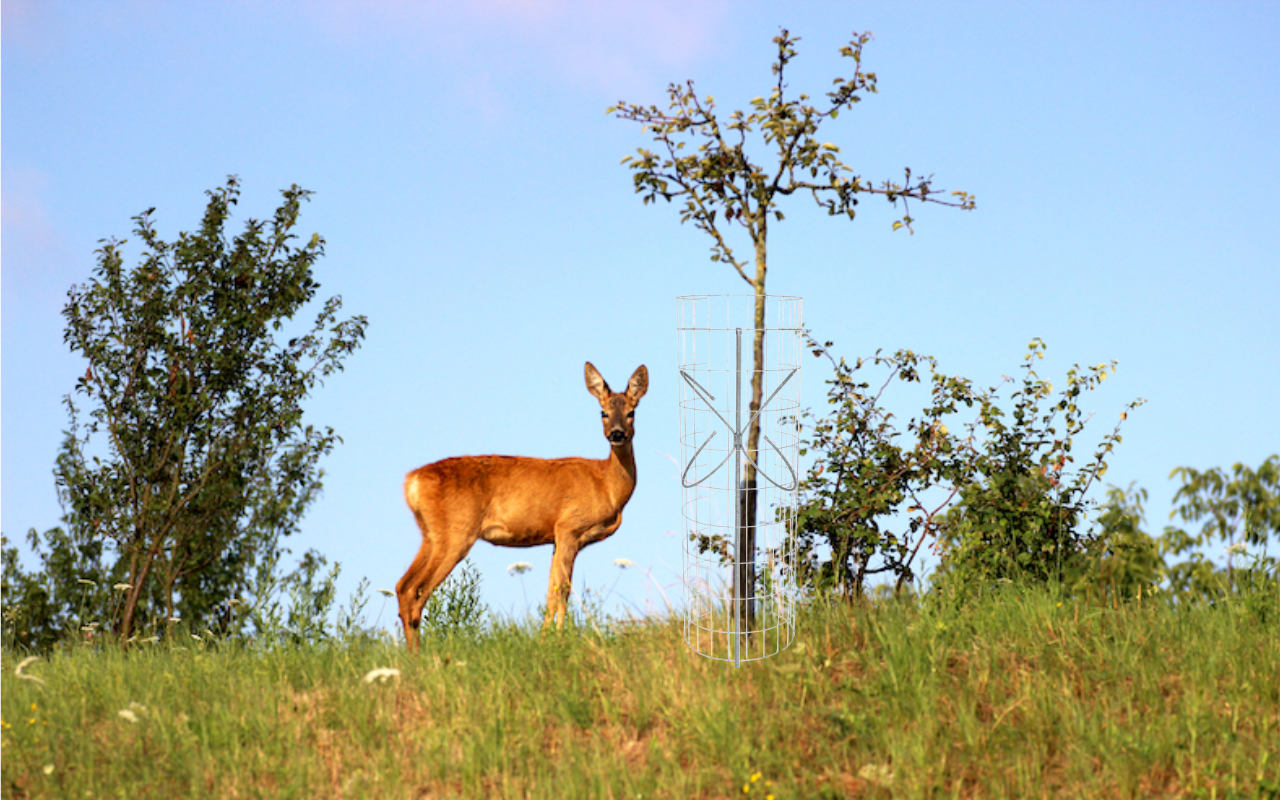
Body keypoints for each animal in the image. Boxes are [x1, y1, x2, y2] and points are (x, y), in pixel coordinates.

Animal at [394, 360, 645, 650]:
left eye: (631, 412)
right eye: (602, 412)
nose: (617, 434)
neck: (607, 485)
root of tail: (412, 481)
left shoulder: (556, 538)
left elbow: (550, 591)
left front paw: (545, 639)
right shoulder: (569, 527)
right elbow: (563, 590)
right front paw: (560, 640)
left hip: (430, 533)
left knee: (402, 586)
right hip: (456, 532)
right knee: (416, 591)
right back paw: (420, 656)